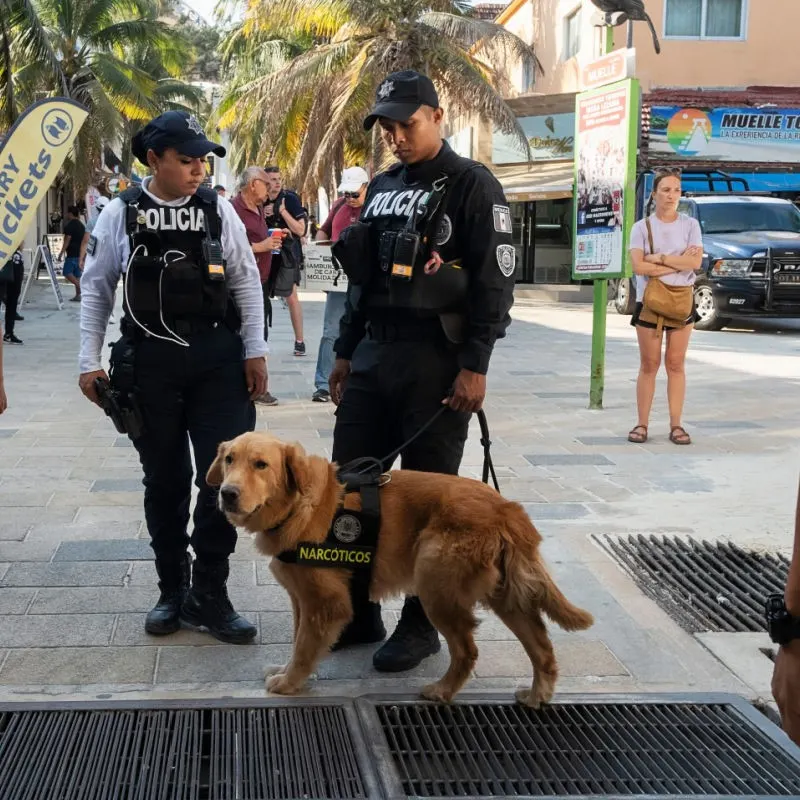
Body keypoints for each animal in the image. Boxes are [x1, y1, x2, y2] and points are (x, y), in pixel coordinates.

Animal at [206, 432, 592, 708]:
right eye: (229, 459)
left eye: (261, 464)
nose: (227, 493)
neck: (299, 505)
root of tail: (506, 508)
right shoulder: (303, 600)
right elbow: (298, 642)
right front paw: (287, 673)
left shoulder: (325, 604)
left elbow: (303, 649)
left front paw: (289, 684)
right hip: (505, 596)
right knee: (542, 646)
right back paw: (537, 695)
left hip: (435, 586)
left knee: (467, 650)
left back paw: (443, 691)